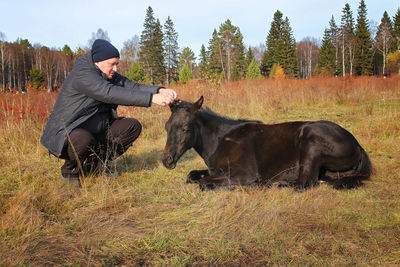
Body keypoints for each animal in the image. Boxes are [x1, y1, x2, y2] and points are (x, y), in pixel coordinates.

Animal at [162, 96, 372, 191]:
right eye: (166, 127)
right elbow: (192, 175)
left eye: (186, 128)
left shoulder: (244, 173)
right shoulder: (217, 170)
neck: (221, 140)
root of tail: (357, 145)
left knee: (304, 184)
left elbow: (204, 183)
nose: (167, 160)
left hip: (311, 144)